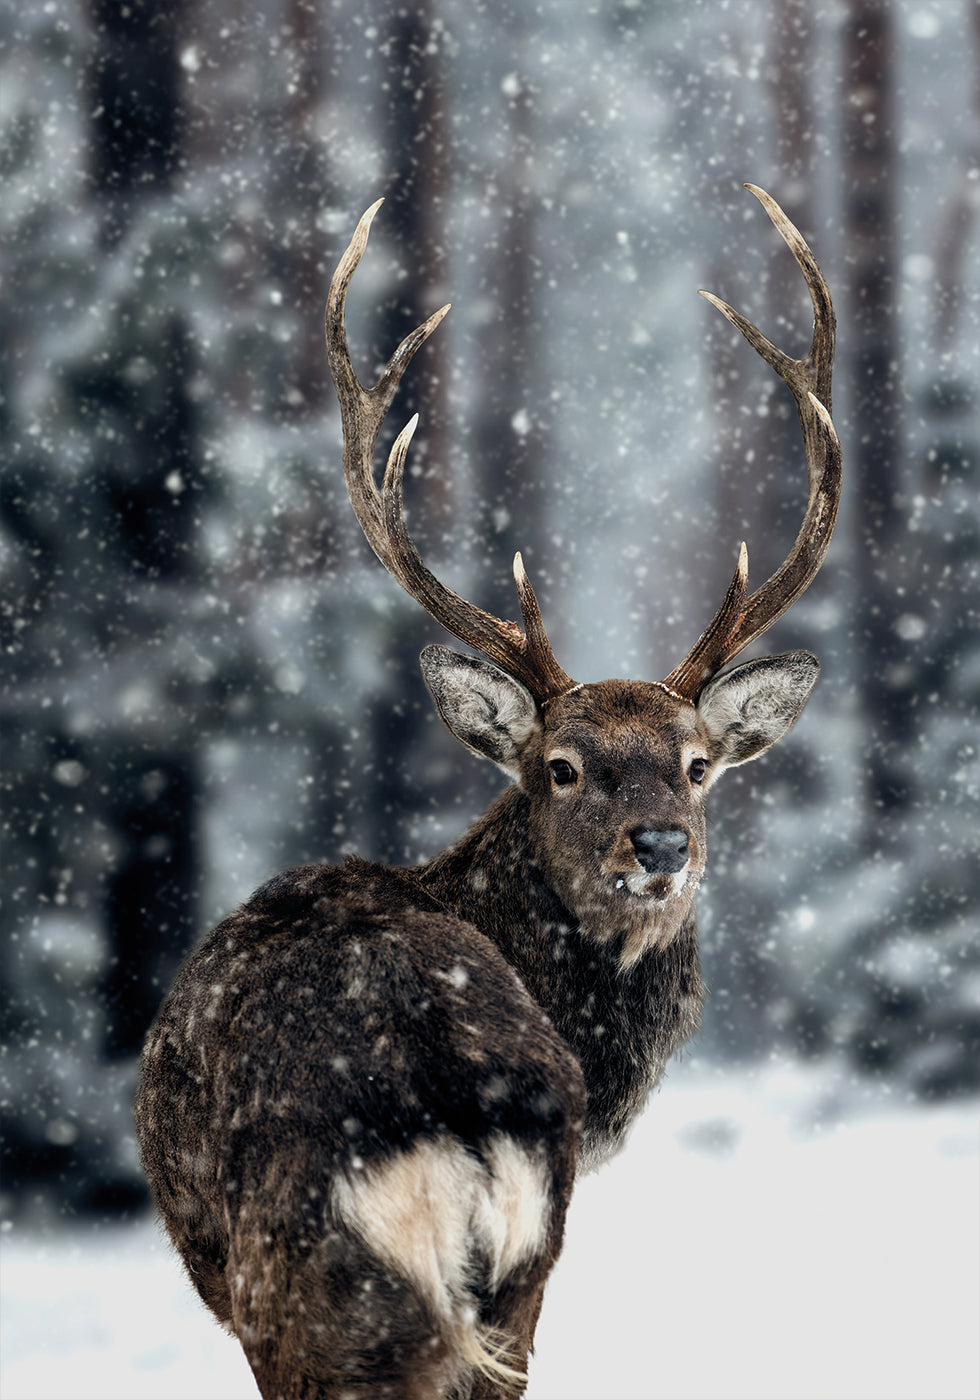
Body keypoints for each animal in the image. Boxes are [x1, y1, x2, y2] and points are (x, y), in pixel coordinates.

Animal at [135, 184, 840, 1400]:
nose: (662, 844)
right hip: (517, 1279)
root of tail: (449, 1115)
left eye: (698, 763)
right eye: (561, 766)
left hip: (301, 1289)